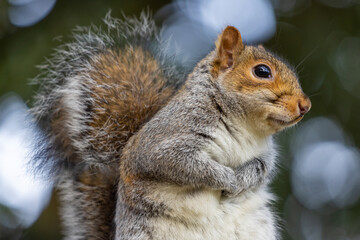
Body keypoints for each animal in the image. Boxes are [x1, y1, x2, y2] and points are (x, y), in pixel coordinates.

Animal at [31, 11, 310, 240]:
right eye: (262, 71)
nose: (305, 105)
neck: (245, 126)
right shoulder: (168, 138)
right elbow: (182, 164)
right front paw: (228, 180)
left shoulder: (266, 154)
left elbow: (261, 169)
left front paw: (241, 181)